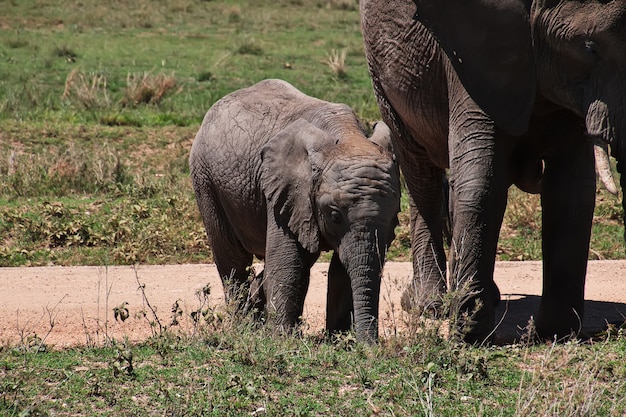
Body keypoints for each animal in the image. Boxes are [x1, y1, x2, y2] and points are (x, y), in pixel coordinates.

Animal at [188, 79, 400, 342]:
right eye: (335, 216)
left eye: (394, 218)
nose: (370, 346)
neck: (347, 136)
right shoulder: (286, 191)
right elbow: (288, 264)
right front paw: (283, 340)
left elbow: (341, 269)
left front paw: (339, 342)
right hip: (205, 180)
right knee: (233, 260)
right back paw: (243, 329)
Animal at [358, 0, 624, 342]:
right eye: (590, 48)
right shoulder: (474, 60)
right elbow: (480, 179)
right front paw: (468, 330)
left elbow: (571, 190)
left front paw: (557, 332)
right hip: (382, 73)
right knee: (420, 173)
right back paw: (428, 306)